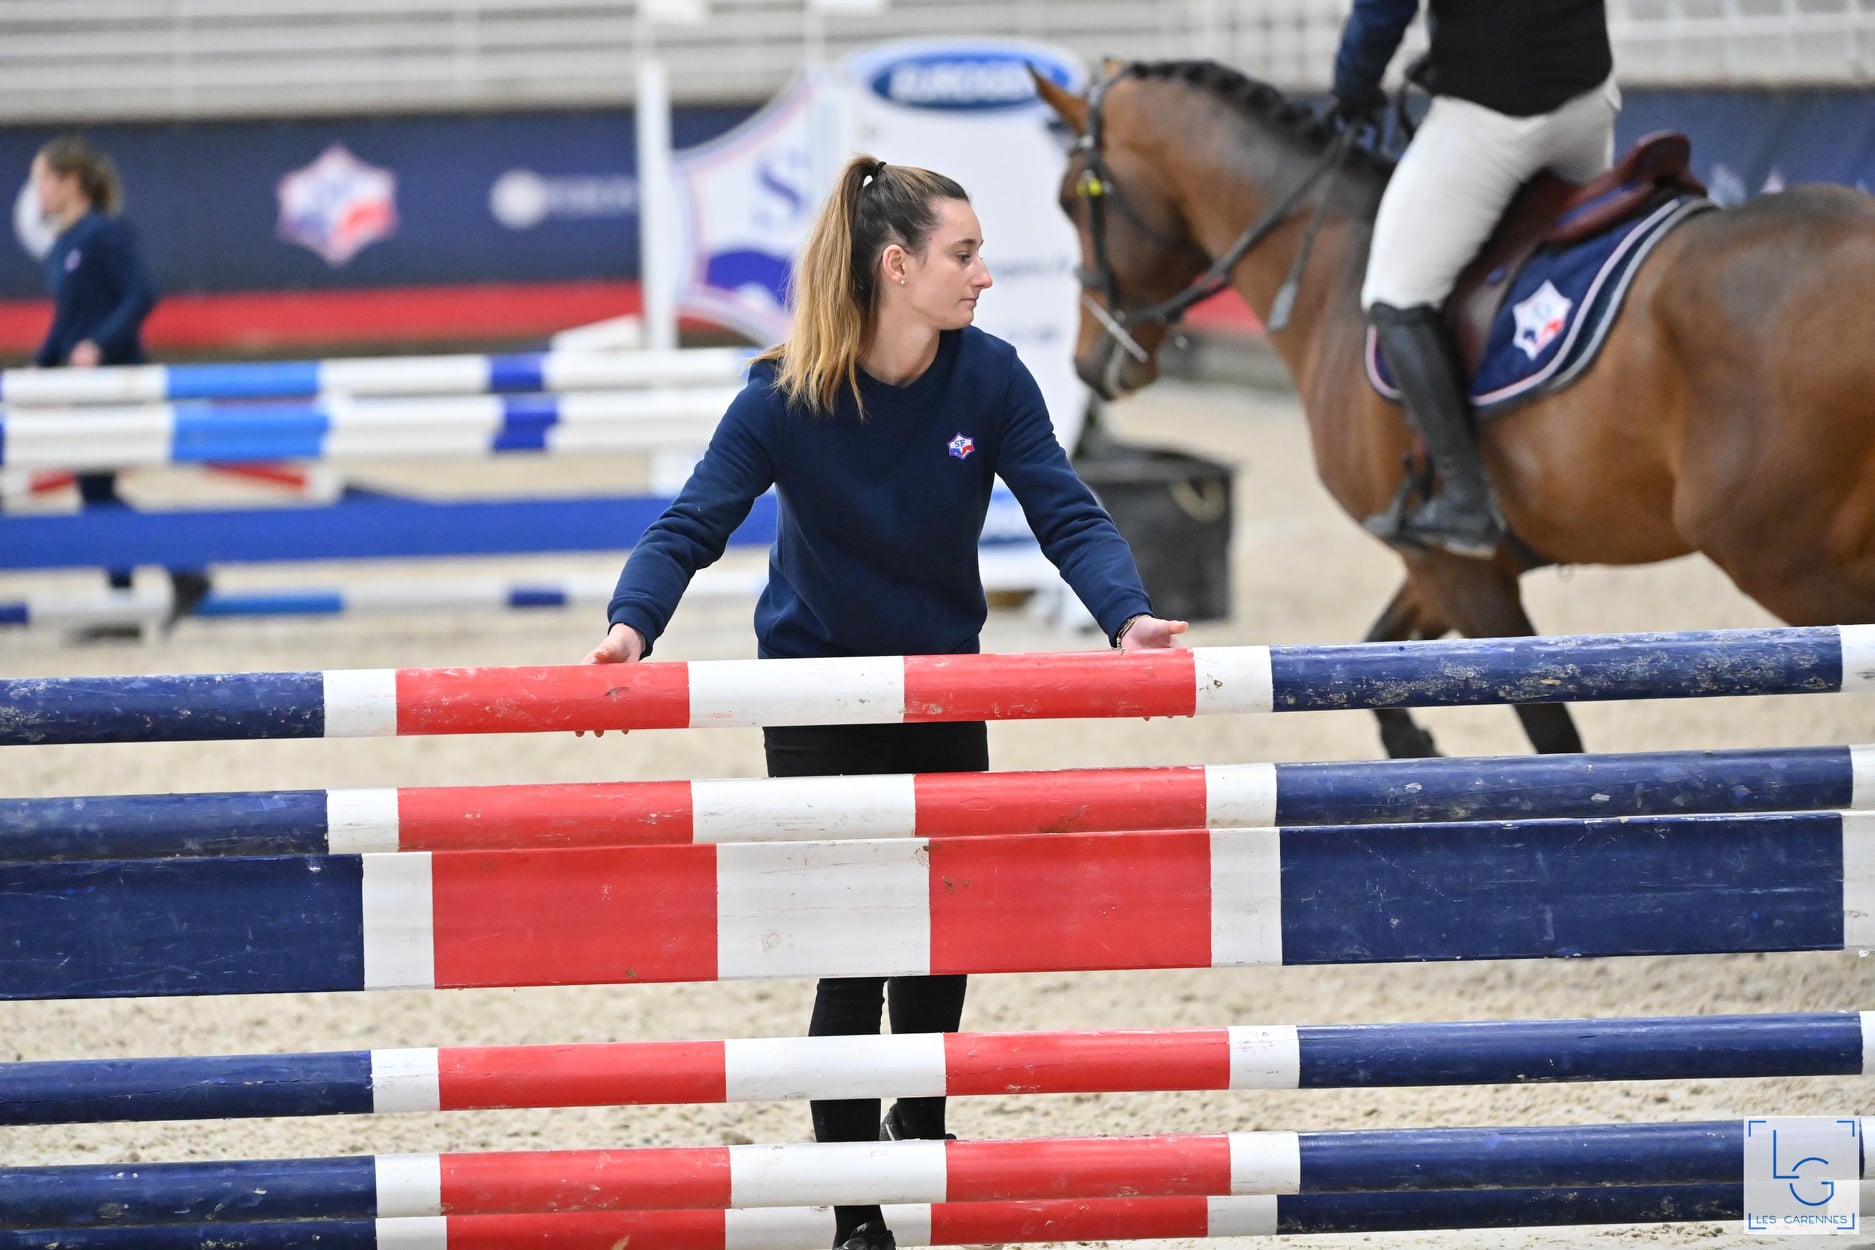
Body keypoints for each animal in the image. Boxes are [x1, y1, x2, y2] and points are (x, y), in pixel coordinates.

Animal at [1034, 60, 1875, 758]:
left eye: (1073, 198)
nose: (1088, 363)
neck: (1333, 265)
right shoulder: (1435, 563)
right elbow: (1380, 667)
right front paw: (1416, 750)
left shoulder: (1460, 571)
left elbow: (1550, 738)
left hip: (1778, 557)